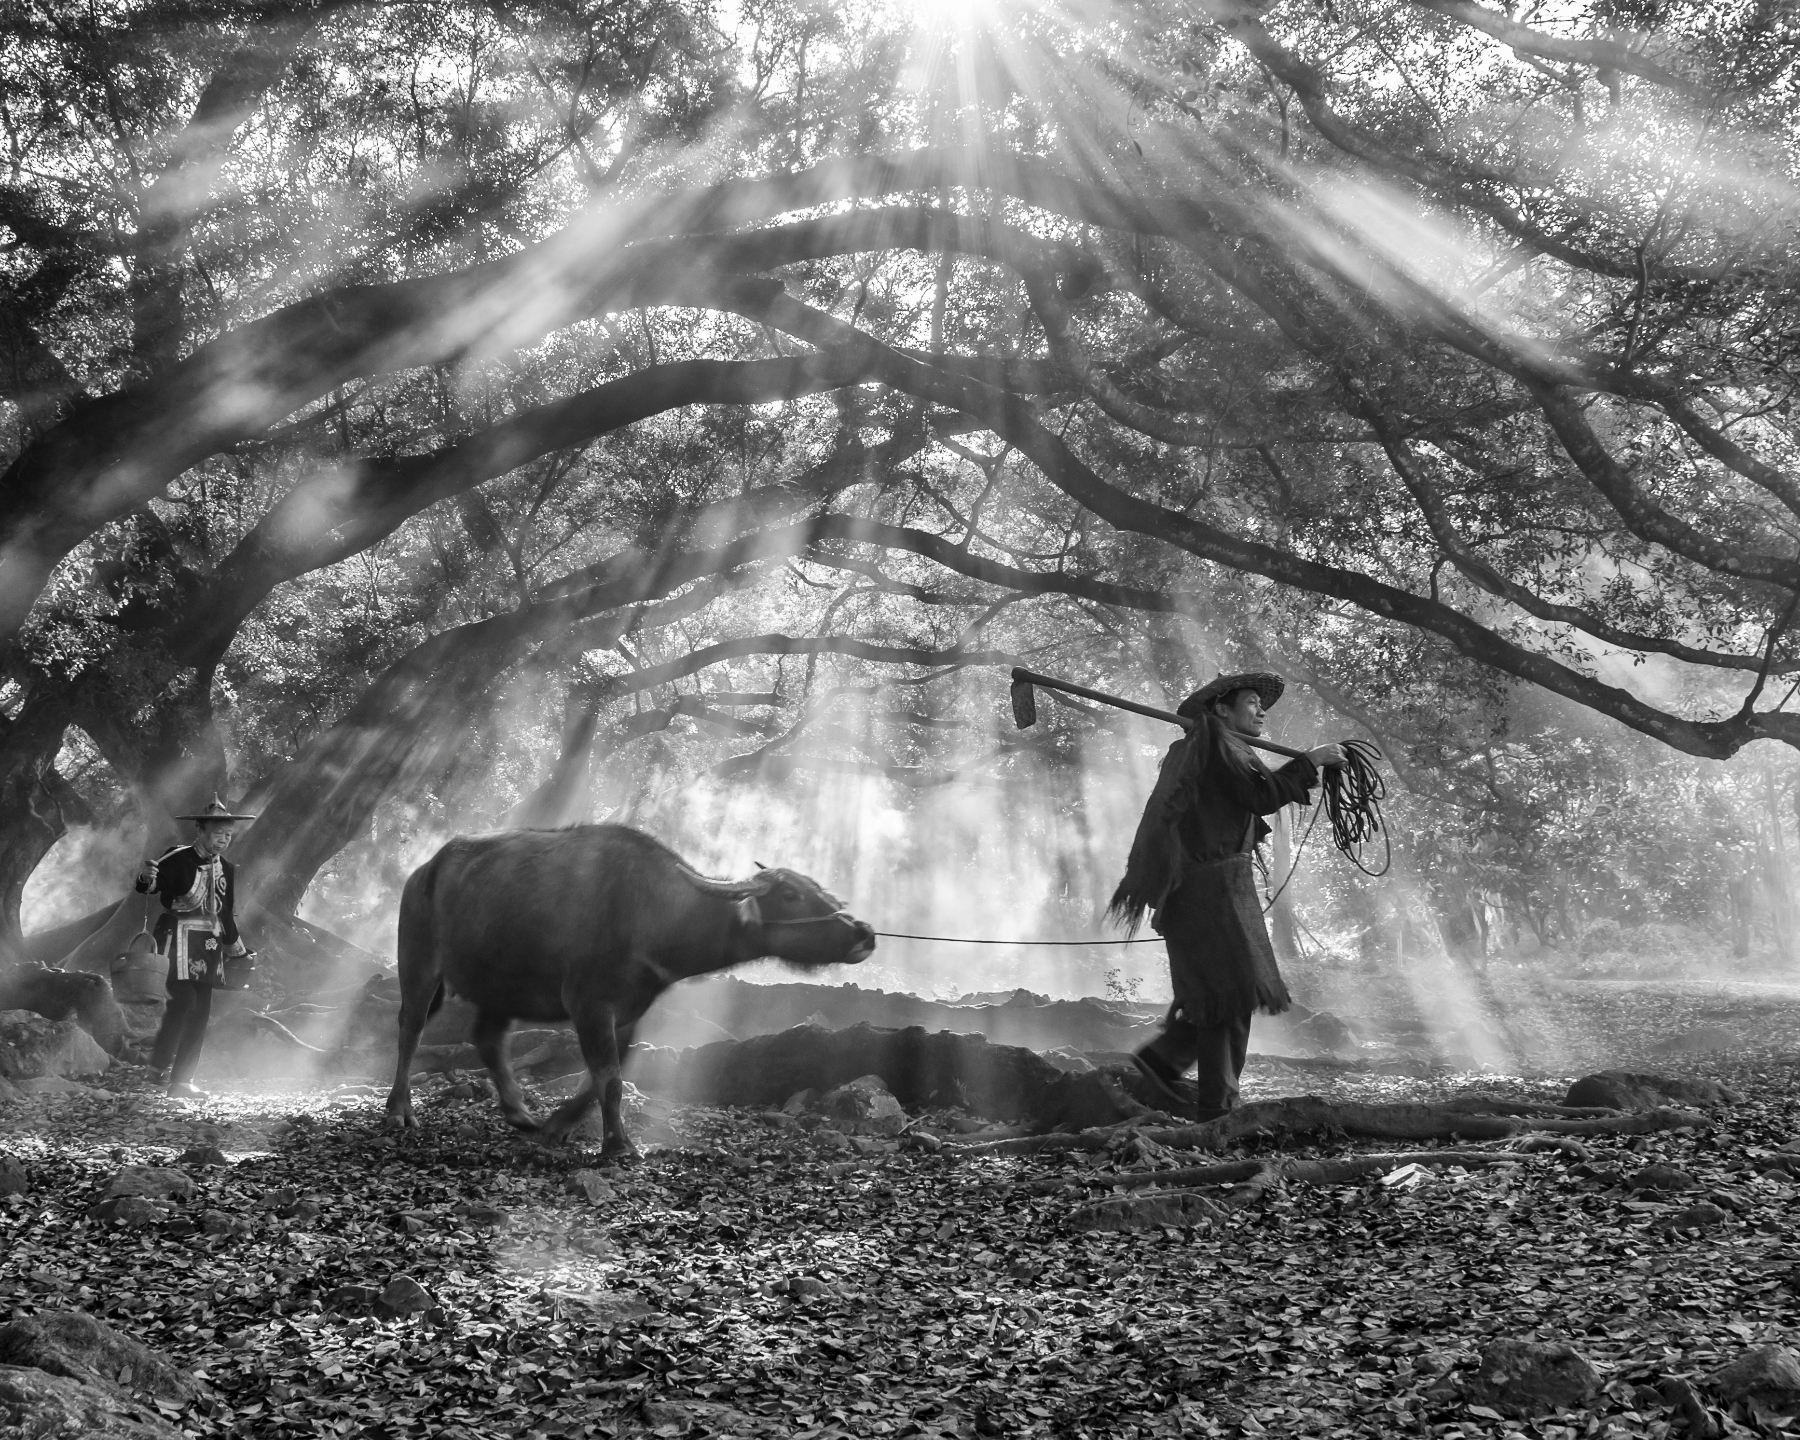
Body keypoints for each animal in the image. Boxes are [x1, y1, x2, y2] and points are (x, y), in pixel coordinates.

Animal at [383, 828, 874, 1152]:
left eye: (817, 888)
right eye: (790, 895)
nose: (864, 932)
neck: (651, 912)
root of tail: (423, 873)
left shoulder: (629, 1011)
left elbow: (606, 1076)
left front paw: (559, 1125)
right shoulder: (588, 1004)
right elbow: (611, 1078)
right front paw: (619, 1145)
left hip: (500, 989)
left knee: (487, 1039)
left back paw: (520, 1114)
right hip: (419, 968)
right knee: (409, 1029)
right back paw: (399, 1110)